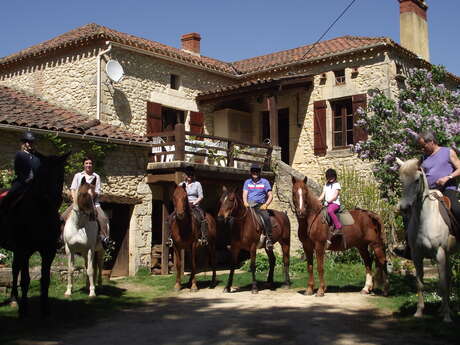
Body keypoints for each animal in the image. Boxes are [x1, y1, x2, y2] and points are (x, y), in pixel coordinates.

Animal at [0, 152, 69, 316]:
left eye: (61, 174)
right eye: (43, 174)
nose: (54, 200)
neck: (41, 214)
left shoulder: (48, 251)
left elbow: (45, 279)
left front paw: (45, 309)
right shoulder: (24, 250)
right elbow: (25, 279)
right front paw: (24, 310)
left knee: (14, 269)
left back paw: (13, 299)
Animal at [396, 157, 456, 322]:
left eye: (417, 180)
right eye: (400, 179)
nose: (404, 207)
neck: (426, 219)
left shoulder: (440, 254)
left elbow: (441, 284)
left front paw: (447, 317)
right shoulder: (417, 255)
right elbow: (419, 283)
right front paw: (419, 311)